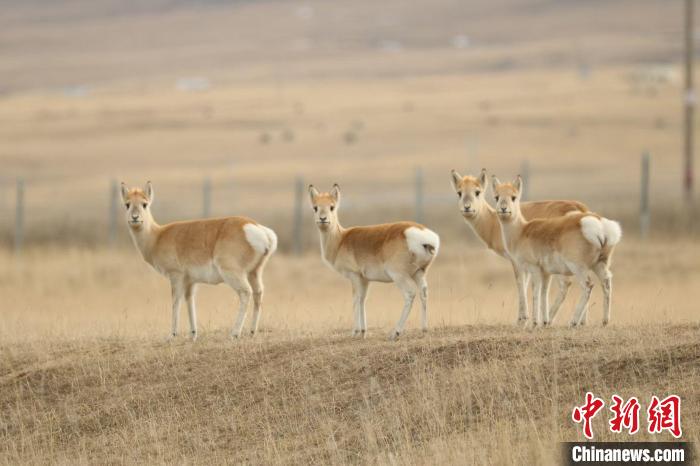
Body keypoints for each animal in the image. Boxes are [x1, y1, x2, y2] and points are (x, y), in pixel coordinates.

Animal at [121, 181, 277, 341]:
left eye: (144, 204)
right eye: (127, 204)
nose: (135, 217)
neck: (158, 235)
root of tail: (256, 228)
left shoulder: (176, 276)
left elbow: (175, 302)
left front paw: (172, 335)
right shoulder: (190, 282)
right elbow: (190, 302)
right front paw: (193, 335)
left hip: (233, 274)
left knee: (246, 292)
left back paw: (234, 333)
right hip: (254, 273)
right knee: (258, 292)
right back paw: (252, 332)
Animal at [308, 184, 440, 340]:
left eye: (332, 207)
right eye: (315, 207)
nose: (323, 219)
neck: (341, 239)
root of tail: (421, 234)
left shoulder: (354, 276)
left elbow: (356, 299)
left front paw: (355, 332)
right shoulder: (365, 280)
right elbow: (363, 300)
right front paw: (363, 332)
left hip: (399, 276)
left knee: (410, 294)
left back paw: (395, 333)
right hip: (419, 273)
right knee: (423, 292)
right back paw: (424, 329)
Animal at [450, 169, 589, 326]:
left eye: (477, 191)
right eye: (459, 192)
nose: (467, 208)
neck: (494, 222)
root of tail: (579, 209)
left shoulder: (516, 261)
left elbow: (520, 283)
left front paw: (522, 320)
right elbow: (527, 283)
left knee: (567, 284)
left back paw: (551, 320)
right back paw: (581, 322)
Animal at [491, 175, 621, 327]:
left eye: (513, 197)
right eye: (497, 197)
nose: (503, 209)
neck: (523, 231)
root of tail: (599, 224)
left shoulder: (534, 269)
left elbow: (535, 292)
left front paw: (534, 322)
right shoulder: (546, 273)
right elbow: (544, 293)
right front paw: (544, 322)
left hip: (578, 268)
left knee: (588, 286)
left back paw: (573, 322)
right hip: (599, 265)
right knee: (606, 283)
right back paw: (604, 321)